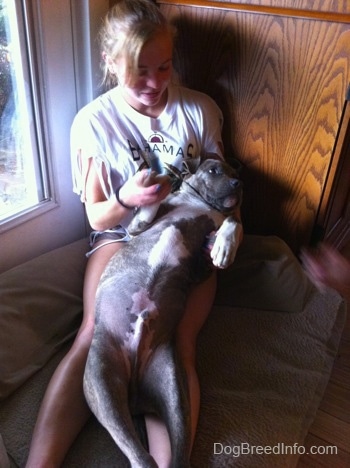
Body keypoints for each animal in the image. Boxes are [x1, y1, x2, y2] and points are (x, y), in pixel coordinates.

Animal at [85, 159, 243, 466]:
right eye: (214, 170)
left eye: (234, 172)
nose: (238, 183)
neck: (200, 204)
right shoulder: (138, 227)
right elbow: (149, 208)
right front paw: (157, 182)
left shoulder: (202, 265)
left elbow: (234, 222)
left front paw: (225, 246)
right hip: (101, 384)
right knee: (137, 453)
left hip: (175, 394)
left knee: (173, 452)